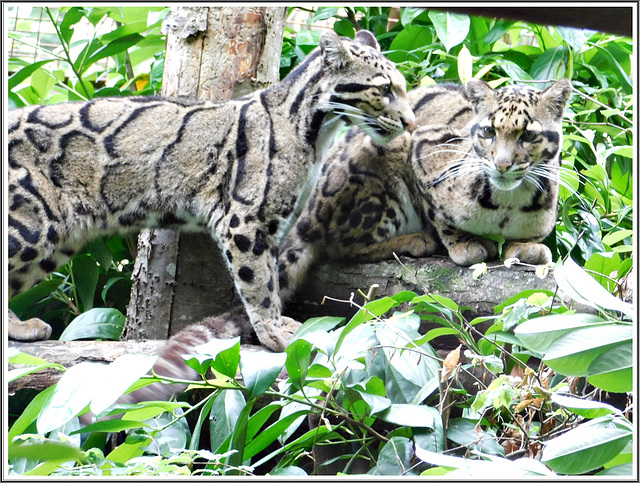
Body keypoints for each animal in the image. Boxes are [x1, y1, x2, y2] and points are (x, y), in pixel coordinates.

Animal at [6, 29, 416, 352]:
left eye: (403, 88)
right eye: (384, 89)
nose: (410, 122)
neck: (316, 131)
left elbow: (273, 275)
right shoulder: (245, 220)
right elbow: (260, 283)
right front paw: (273, 332)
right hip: (31, 224)